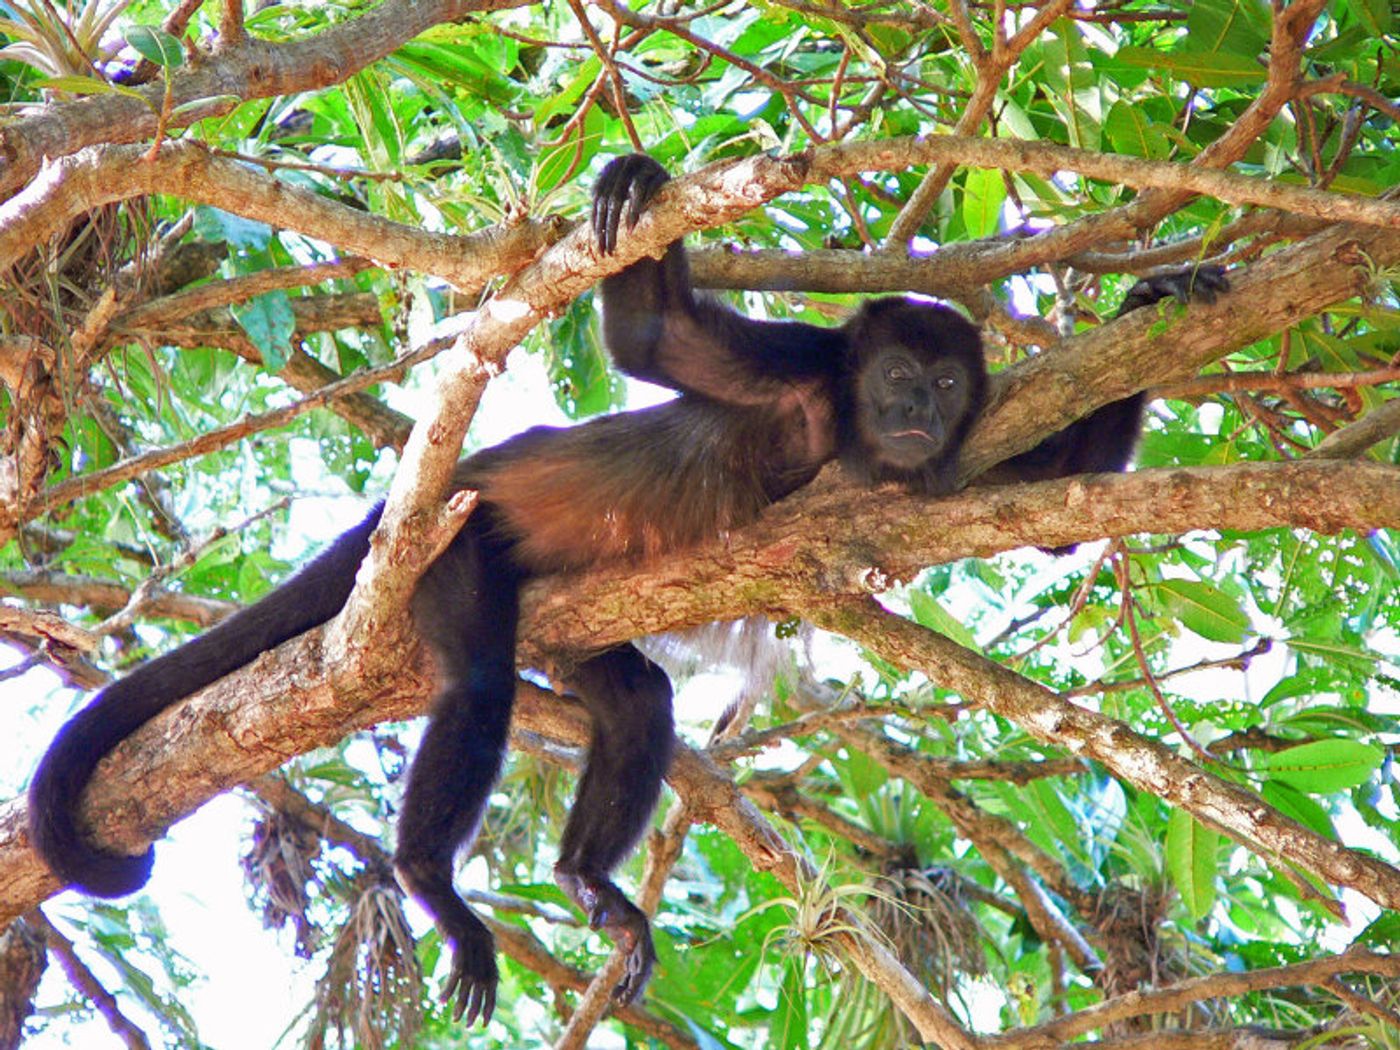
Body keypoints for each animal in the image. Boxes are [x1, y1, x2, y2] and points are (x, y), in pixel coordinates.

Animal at [24, 154, 1226, 1030]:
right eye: (894, 379)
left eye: (942, 383)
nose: (920, 417)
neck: (850, 432)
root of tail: (436, 488)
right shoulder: (804, 367)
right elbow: (653, 341)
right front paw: (634, 181)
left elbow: (1058, 515)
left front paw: (1159, 289)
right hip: (456, 553)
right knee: (476, 689)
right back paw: (434, 885)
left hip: (565, 622)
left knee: (636, 698)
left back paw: (584, 881)